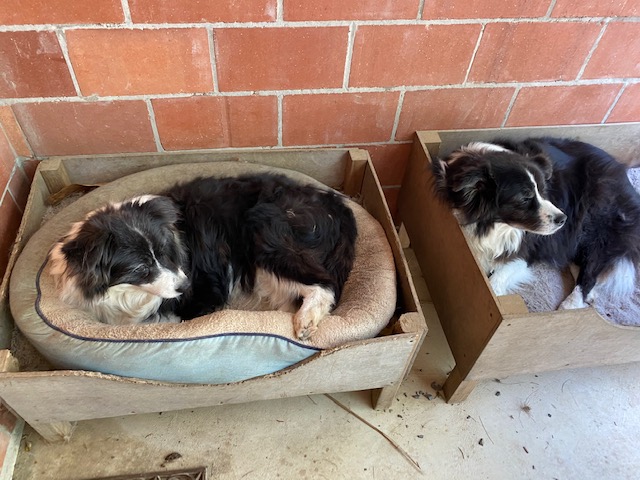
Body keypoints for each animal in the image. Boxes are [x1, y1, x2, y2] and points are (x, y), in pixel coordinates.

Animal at [48, 173, 357, 340]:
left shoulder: (203, 296)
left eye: (166, 252)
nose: (186, 285)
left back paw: (304, 323)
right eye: (140, 268)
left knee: (324, 283)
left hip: (265, 232)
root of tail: (337, 203)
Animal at [431, 137, 640, 310]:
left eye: (543, 189)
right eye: (525, 198)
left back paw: (571, 304)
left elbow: (496, 281)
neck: (491, 225)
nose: (562, 219)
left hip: (597, 226)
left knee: (593, 267)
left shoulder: (529, 249)